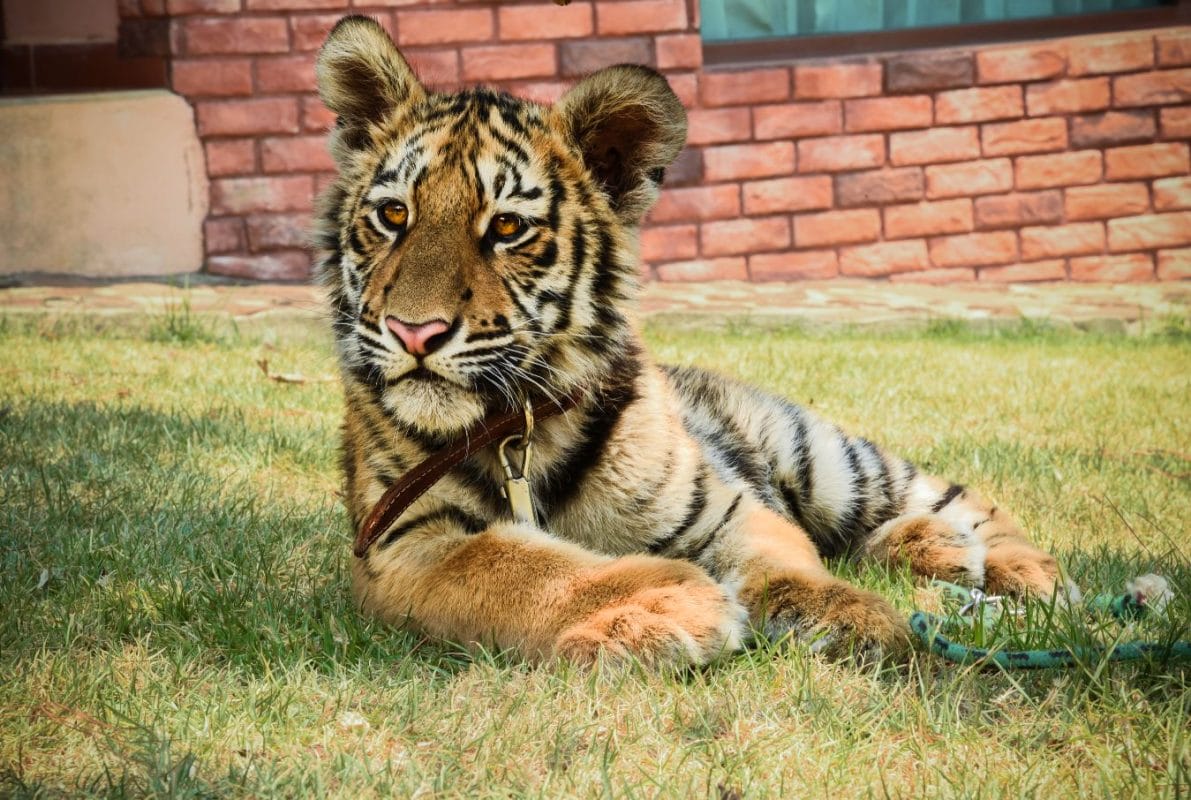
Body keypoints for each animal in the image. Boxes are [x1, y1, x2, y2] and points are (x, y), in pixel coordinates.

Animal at [313, 15, 1074, 667]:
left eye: (506, 228)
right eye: (393, 215)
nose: (414, 331)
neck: (520, 431)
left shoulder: (726, 506)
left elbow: (784, 560)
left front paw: (848, 616)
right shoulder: (404, 542)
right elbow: (517, 561)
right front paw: (662, 603)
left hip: (819, 455)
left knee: (949, 496)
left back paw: (1018, 567)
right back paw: (940, 551)